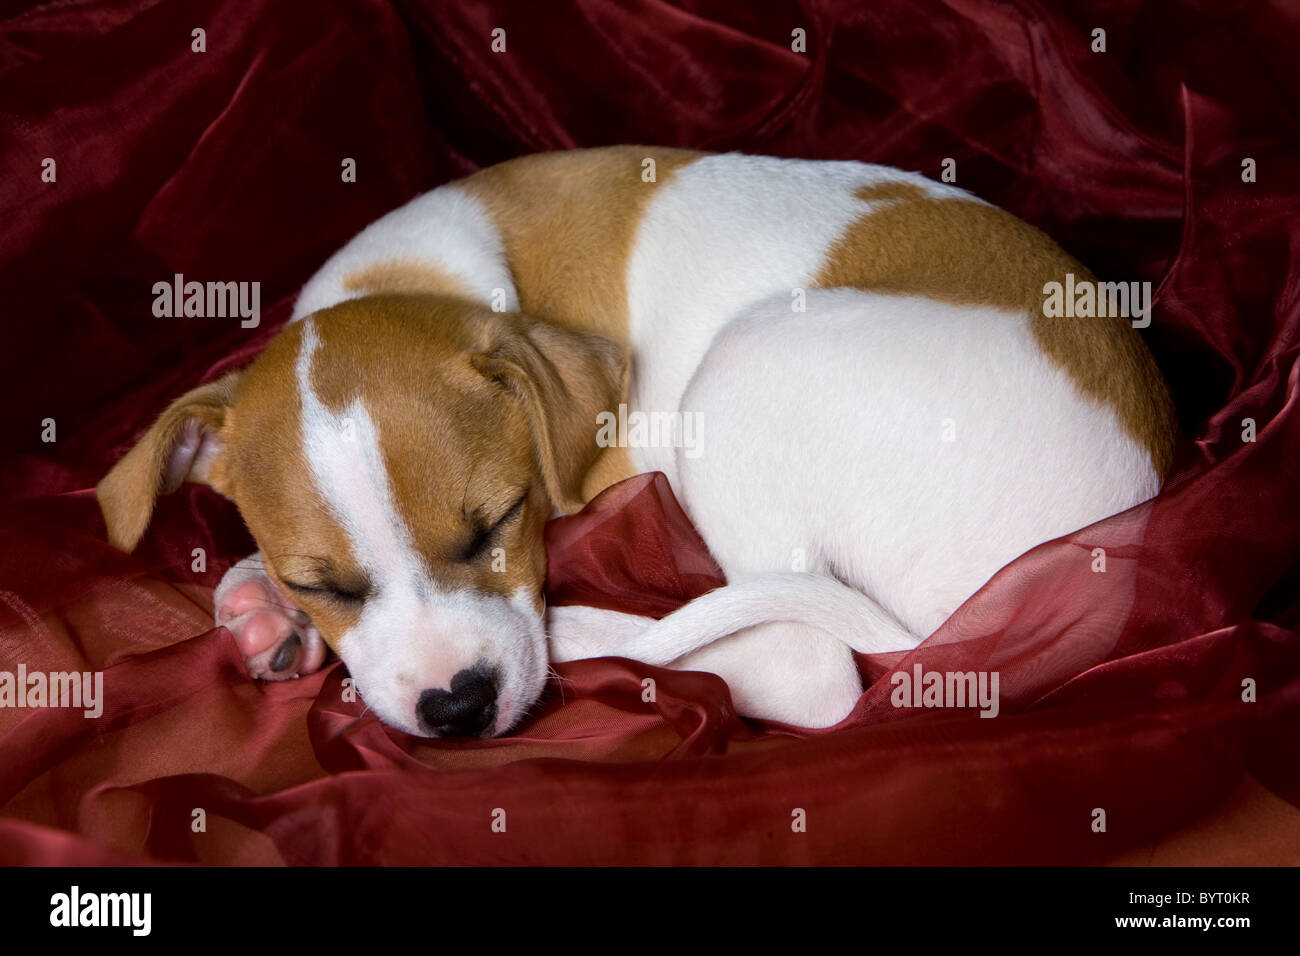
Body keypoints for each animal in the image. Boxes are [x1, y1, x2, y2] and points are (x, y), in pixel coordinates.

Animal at [98, 145, 1180, 738]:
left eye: (496, 524)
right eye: (322, 583)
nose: (457, 707)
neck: (410, 281)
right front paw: (264, 604)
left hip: (744, 373)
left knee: (808, 666)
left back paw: (594, 637)